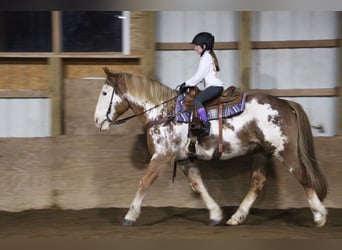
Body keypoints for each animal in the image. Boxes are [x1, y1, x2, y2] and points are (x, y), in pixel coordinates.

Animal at [94, 67, 328, 227]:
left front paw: (130, 216)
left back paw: (319, 215)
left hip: (285, 151)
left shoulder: (162, 155)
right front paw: (215, 214)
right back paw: (236, 217)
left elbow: (144, 182)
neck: (163, 114)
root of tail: (286, 103)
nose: (97, 121)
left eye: (105, 94)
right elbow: (198, 185)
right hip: (261, 152)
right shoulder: (184, 159)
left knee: (302, 176)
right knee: (257, 182)